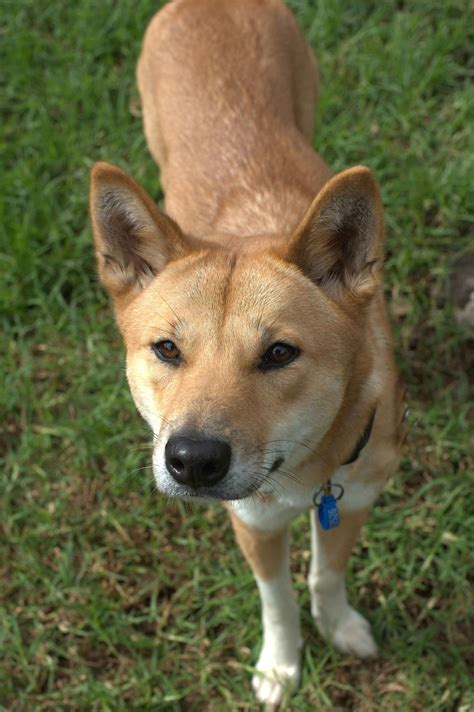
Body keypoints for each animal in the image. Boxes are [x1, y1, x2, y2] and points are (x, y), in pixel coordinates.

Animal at [88, 0, 404, 704]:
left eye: (280, 353)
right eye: (167, 348)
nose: (192, 461)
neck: (305, 473)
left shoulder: (356, 498)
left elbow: (324, 576)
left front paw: (338, 626)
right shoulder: (254, 523)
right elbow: (277, 599)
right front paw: (281, 666)